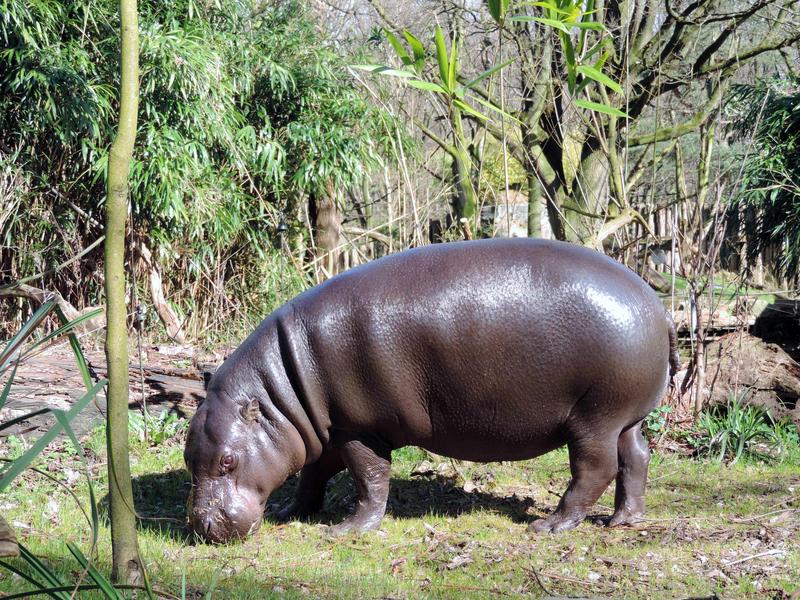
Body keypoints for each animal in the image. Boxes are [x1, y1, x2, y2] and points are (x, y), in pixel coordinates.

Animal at [184, 238, 680, 544]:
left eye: (228, 461)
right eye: (188, 458)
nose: (203, 526)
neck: (281, 398)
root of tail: (658, 308)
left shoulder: (359, 429)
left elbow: (370, 479)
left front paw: (346, 530)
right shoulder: (328, 429)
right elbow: (313, 473)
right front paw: (291, 511)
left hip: (594, 418)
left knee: (595, 469)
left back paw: (549, 526)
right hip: (624, 417)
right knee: (637, 456)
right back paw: (623, 521)